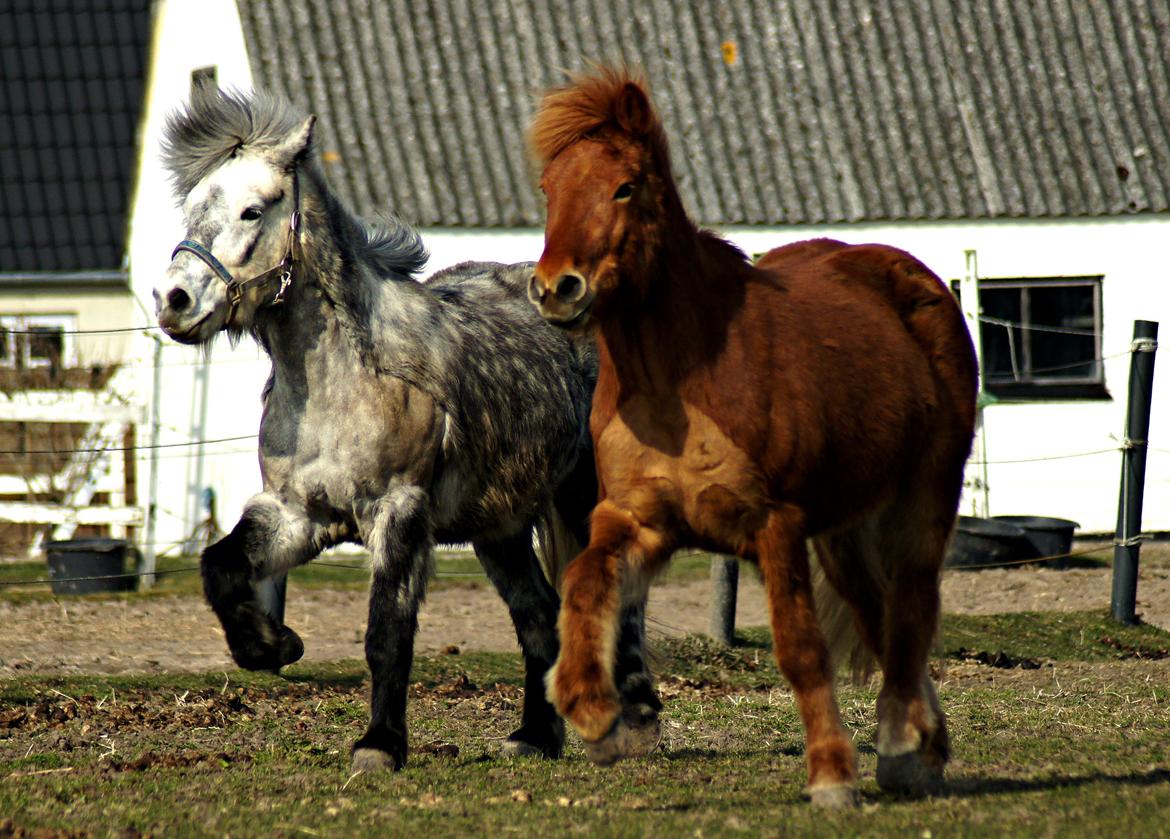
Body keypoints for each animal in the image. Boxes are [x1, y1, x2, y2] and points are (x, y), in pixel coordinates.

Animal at [152, 86, 659, 772]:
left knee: (615, 598)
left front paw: (379, 745)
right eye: (194, 209)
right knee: (538, 616)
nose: (173, 301)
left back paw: (635, 724)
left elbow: (387, 633)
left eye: (252, 211)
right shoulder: (294, 513)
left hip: (583, 497)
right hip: (500, 528)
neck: (343, 383)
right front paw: (272, 645)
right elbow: (221, 566)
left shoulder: (397, 512)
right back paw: (534, 735)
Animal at [524, 68, 978, 809]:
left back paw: (905, 750)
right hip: (843, 533)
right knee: (881, 615)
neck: (678, 381)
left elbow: (801, 650)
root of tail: (915, 279)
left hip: (922, 499)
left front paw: (831, 775)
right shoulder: (637, 519)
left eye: (626, 185)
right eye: (548, 188)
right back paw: (920, 742)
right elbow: (584, 580)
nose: (556, 288)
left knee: (911, 610)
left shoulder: (776, 526)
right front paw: (592, 709)